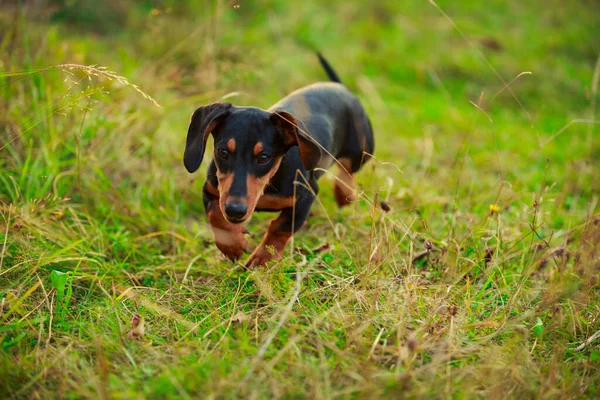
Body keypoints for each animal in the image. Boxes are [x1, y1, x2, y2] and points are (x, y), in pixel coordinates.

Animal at [183, 52, 376, 266]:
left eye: (264, 157)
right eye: (223, 152)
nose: (235, 210)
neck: (269, 182)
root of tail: (341, 88)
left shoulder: (306, 194)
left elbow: (281, 227)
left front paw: (262, 259)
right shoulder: (210, 189)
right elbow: (215, 217)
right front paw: (233, 245)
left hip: (360, 150)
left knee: (347, 169)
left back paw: (344, 193)